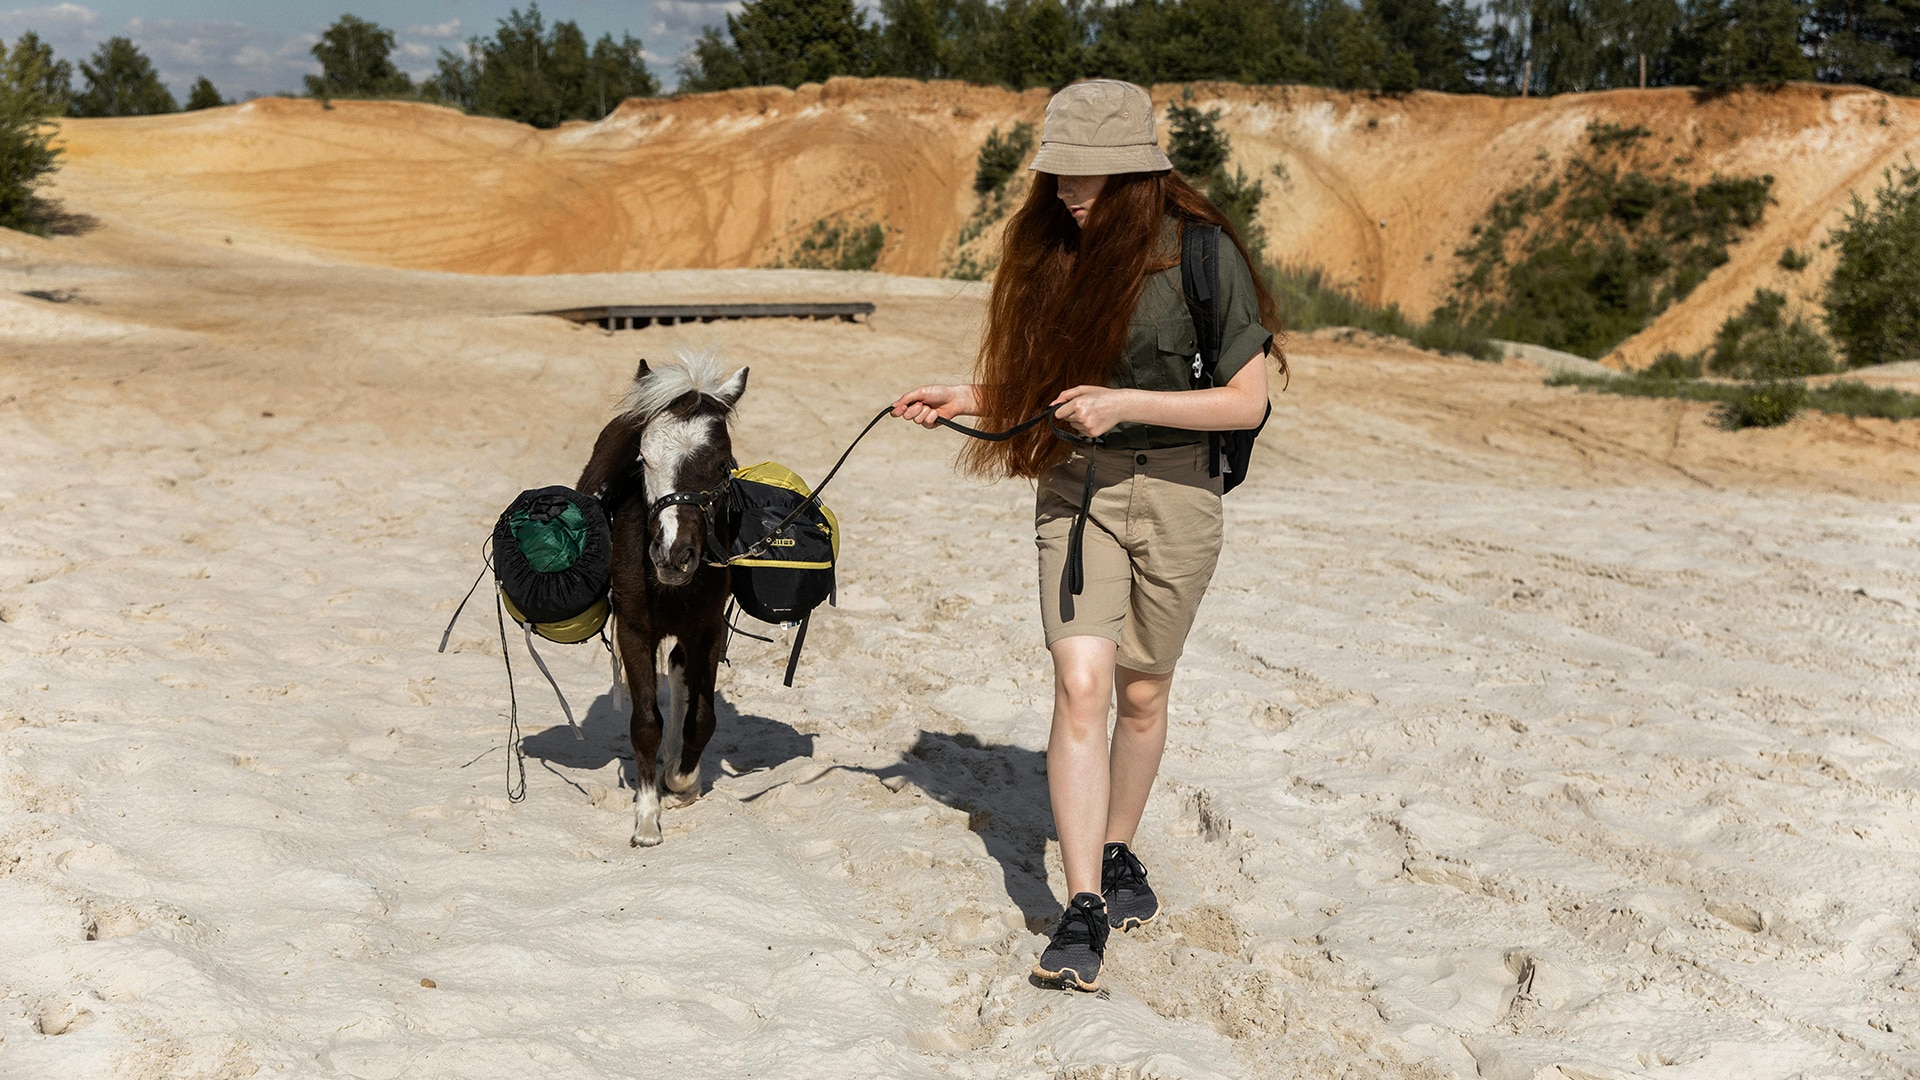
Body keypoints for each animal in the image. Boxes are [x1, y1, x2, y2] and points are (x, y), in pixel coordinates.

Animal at [576, 352, 748, 847]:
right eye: (644, 459)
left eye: (722, 464)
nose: (672, 553)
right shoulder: (635, 630)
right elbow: (646, 723)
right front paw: (647, 820)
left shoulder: (708, 628)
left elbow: (702, 718)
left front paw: (681, 782)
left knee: (678, 670)